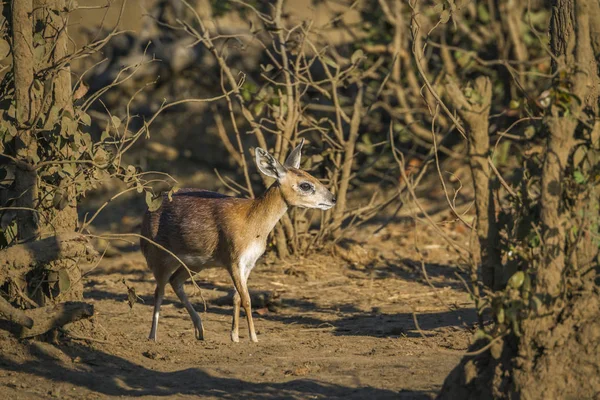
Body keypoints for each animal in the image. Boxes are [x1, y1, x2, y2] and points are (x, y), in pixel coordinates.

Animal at [142, 139, 338, 342]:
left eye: (312, 176)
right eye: (305, 185)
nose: (333, 198)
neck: (252, 223)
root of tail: (145, 215)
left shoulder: (249, 262)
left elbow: (236, 297)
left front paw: (235, 336)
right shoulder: (233, 260)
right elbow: (247, 299)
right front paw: (253, 337)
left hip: (196, 263)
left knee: (175, 282)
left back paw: (200, 330)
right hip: (159, 257)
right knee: (159, 291)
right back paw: (152, 336)